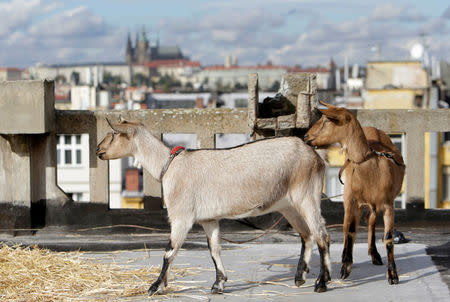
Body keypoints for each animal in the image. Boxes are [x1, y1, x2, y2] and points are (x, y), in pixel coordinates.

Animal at [304, 102, 406, 286]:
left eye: (326, 120)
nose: (306, 136)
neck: (371, 166)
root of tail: (372, 128)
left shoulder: (388, 205)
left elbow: (388, 238)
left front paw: (393, 274)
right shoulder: (353, 202)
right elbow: (351, 231)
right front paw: (346, 267)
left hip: (372, 204)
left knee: (370, 221)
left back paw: (375, 255)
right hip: (348, 197)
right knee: (347, 226)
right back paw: (346, 255)